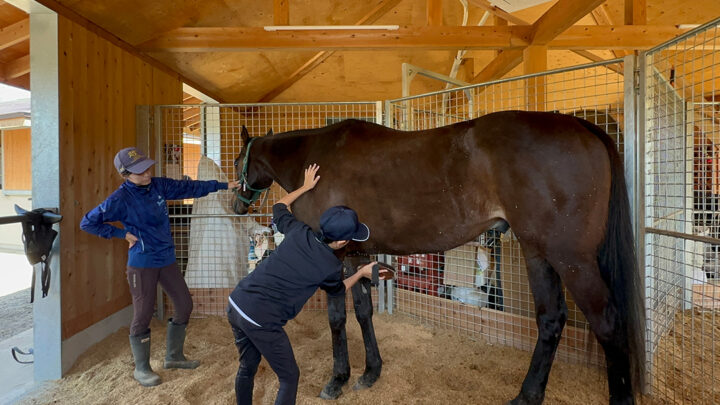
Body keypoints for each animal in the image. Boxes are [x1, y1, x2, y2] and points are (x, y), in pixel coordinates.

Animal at [232, 110, 645, 405]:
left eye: (238, 160)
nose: (237, 204)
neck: (315, 161)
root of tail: (579, 125)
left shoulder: (334, 255)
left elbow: (337, 319)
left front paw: (338, 379)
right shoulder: (357, 253)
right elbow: (364, 311)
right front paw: (370, 372)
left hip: (571, 258)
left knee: (607, 322)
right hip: (538, 253)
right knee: (551, 319)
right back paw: (526, 396)